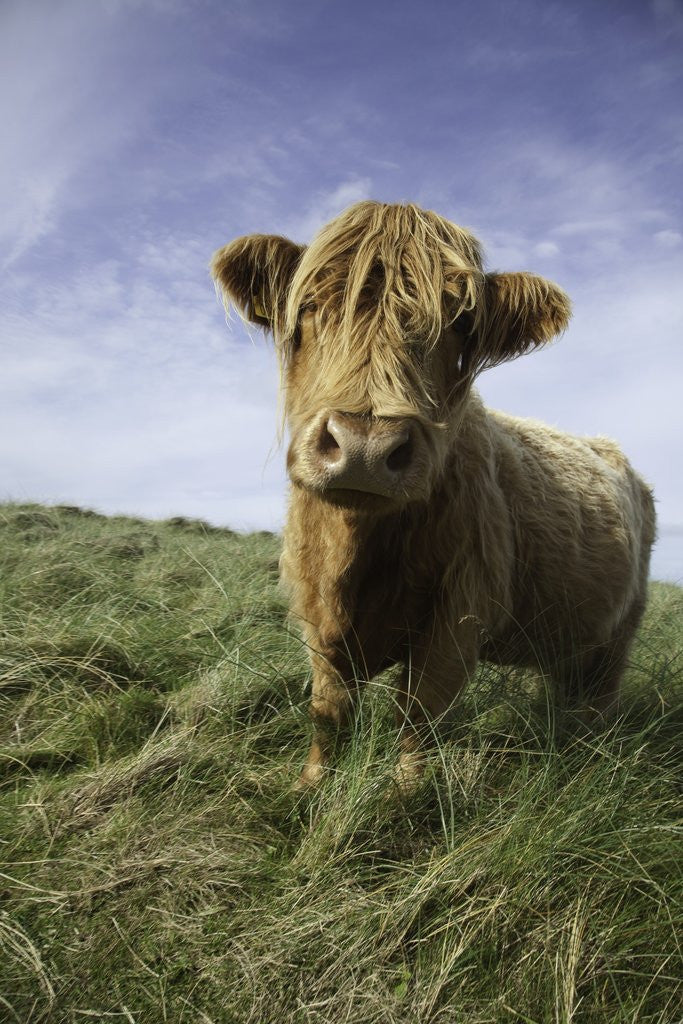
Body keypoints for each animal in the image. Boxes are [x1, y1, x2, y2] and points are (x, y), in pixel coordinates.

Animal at [209, 201, 655, 790]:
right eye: (308, 306)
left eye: (462, 324)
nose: (365, 448)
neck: (354, 556)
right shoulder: (315, 615)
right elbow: (328, 711)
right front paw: (309, 786)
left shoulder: (459, 612)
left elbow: (419, 714)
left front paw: (405, 795)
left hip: (621, 630)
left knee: (600, 696)